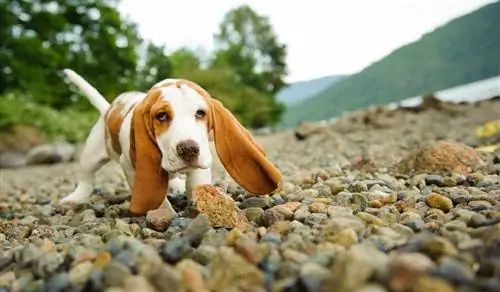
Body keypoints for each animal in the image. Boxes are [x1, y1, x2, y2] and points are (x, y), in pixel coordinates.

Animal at [58, 69, 282, 217]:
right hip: (91, 155)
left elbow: (196, 181)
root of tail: (108, 110)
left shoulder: (202, 161)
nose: (189, 149)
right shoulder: (130, 165)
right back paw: (74, 198)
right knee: (86, 180)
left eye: (201, 113)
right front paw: (164, 214)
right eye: (162, 116)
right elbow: (154, 197)